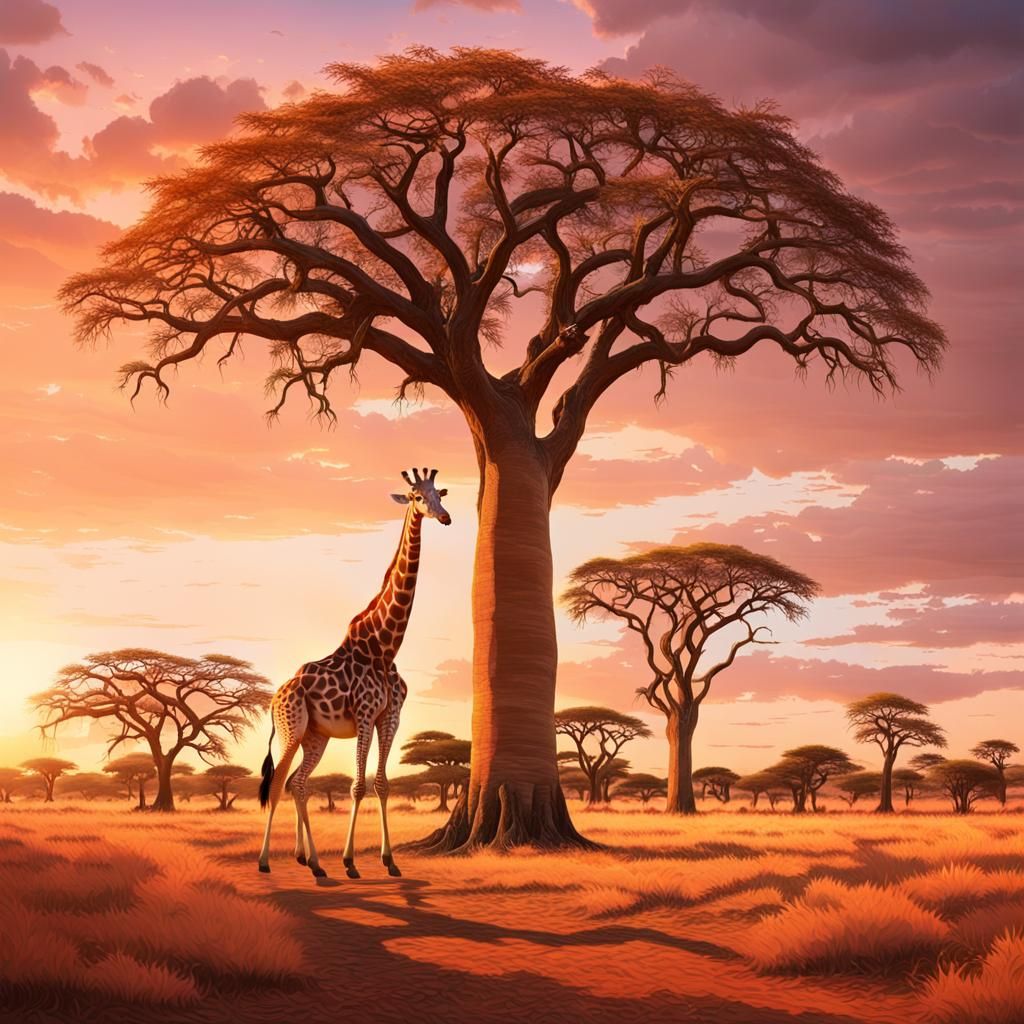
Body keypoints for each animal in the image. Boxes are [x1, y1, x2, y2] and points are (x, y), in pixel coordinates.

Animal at [257, 467, 451, 879]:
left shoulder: (389, 717)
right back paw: (266, 861)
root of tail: (274, 698)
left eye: (438, 494)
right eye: (416, 497)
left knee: (299, 783)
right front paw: (349, 861)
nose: (444, 518)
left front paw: (390, 861)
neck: (384, 647)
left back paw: (311, 861)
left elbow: (382, 785)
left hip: (315, 736)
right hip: (291, 728)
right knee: (278, 782)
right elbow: (357, 786)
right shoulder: (364, 715)